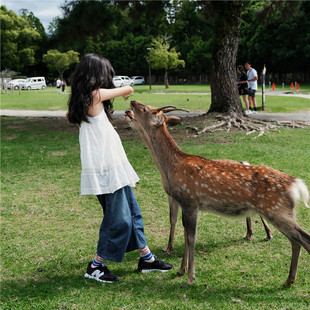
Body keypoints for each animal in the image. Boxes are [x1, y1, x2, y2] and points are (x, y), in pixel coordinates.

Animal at [124, 100, 308, 286]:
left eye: (145, 109)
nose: (131, 103)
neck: (172, 168)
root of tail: (295, 184)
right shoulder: (184, 203)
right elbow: (185, 234)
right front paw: (181, 270)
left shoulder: (190, 201)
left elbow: (191, 237)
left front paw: (190, 277)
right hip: (279, 211)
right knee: (296, 241)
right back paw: (289, 280)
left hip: (277, 210)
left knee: (303, 238)